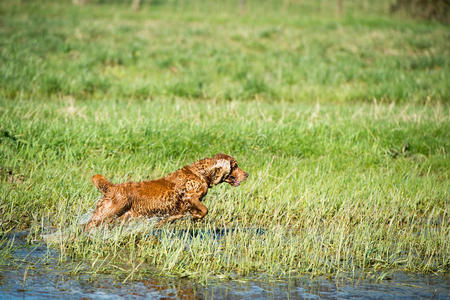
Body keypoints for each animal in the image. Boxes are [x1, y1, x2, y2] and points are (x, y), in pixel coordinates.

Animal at [86, 155, 248, 230]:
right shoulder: (189, 196)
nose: (246, 174)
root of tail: (111, 187)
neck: (201, 174)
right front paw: (196, 217)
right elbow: (204, 209)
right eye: (235, 166)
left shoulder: (177, 210)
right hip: (109, 212)